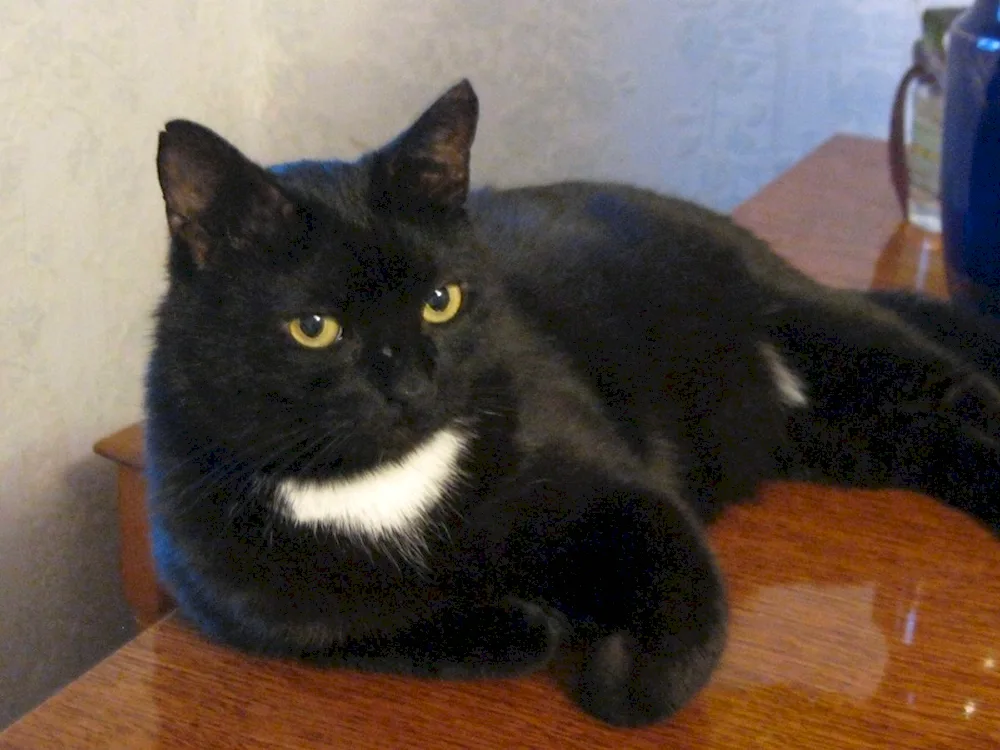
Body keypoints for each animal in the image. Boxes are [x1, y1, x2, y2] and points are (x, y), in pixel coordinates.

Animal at [146, 81, 1000, 728]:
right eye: (315, 327)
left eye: (440, 301)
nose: (413, 386)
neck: (382, 488)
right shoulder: (241, 602)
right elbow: (366, 624)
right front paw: (525, 622)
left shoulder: (627, 494)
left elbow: (675, 631)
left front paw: (608, 669)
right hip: (850, 440)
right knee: (935, 442)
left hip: (821, 327)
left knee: (956, 385)